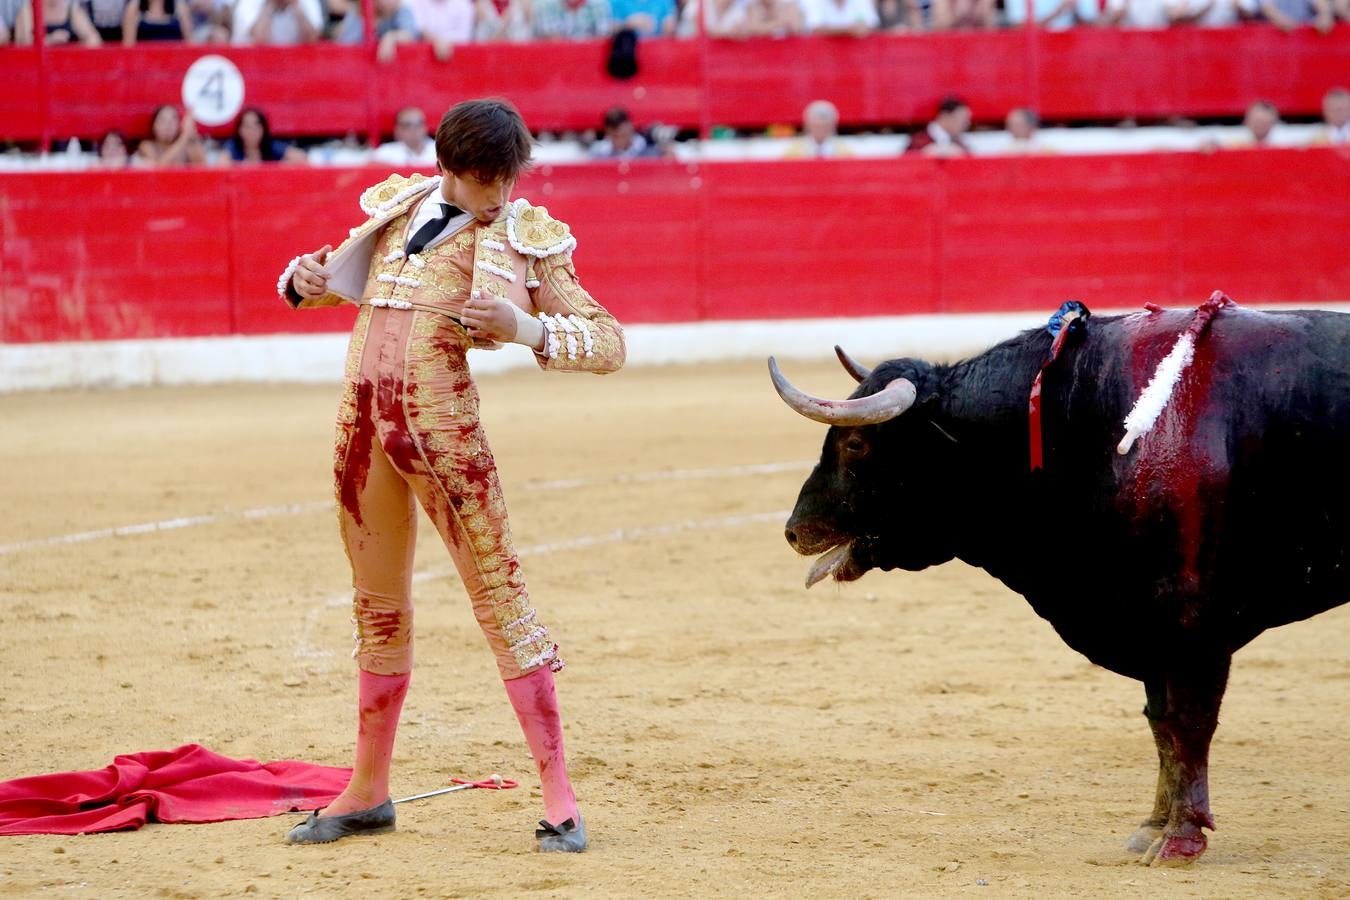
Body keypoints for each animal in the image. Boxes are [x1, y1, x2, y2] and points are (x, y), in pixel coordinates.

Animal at [772, 304, 1350, 863]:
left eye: (854, 443)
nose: (794, 531)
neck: (1089, 429)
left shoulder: (1191, 623)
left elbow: (1188, 721)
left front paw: (1181, 838)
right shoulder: (1147, 625)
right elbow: (1160, 722)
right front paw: (1151, 827)